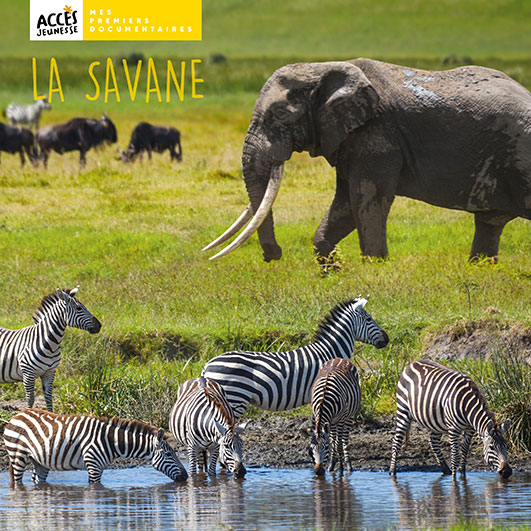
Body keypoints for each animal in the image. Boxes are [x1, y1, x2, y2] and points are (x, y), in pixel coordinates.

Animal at [2, 410, 188, 488]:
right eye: (169, 454)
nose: (186, 476)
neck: (112, 441)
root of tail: (16, 415)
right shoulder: (93, 466)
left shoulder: (100, 468)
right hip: (18, 456)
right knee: (17, 481)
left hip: (39, 461)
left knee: (37, 480)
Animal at [206, 58, 531, 264]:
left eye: (281, 114)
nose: (272, 256)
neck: (324, 67)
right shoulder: (348, 138)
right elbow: (345, 206)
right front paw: (333, 274)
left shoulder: (377, 137)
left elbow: (367, 200)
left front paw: (374, 269)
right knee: (489, 223)